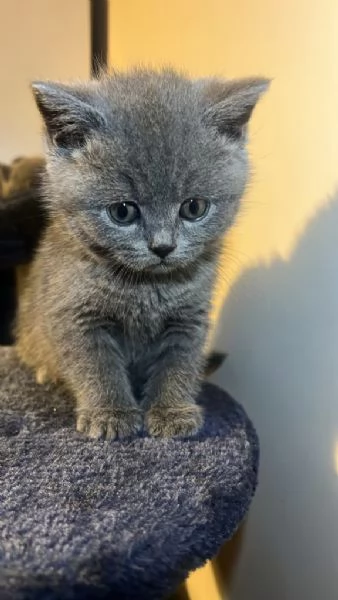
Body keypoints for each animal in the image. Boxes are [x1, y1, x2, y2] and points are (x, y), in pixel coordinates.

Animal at [13, 68, 270, 438]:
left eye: (194, 207)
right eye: (123, 212)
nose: (163, 246)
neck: (147, 287)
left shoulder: (189, 316)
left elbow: (179, 362)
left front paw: (171, 410)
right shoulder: (74, 313)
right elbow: (96, 364)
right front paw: (110, 413)